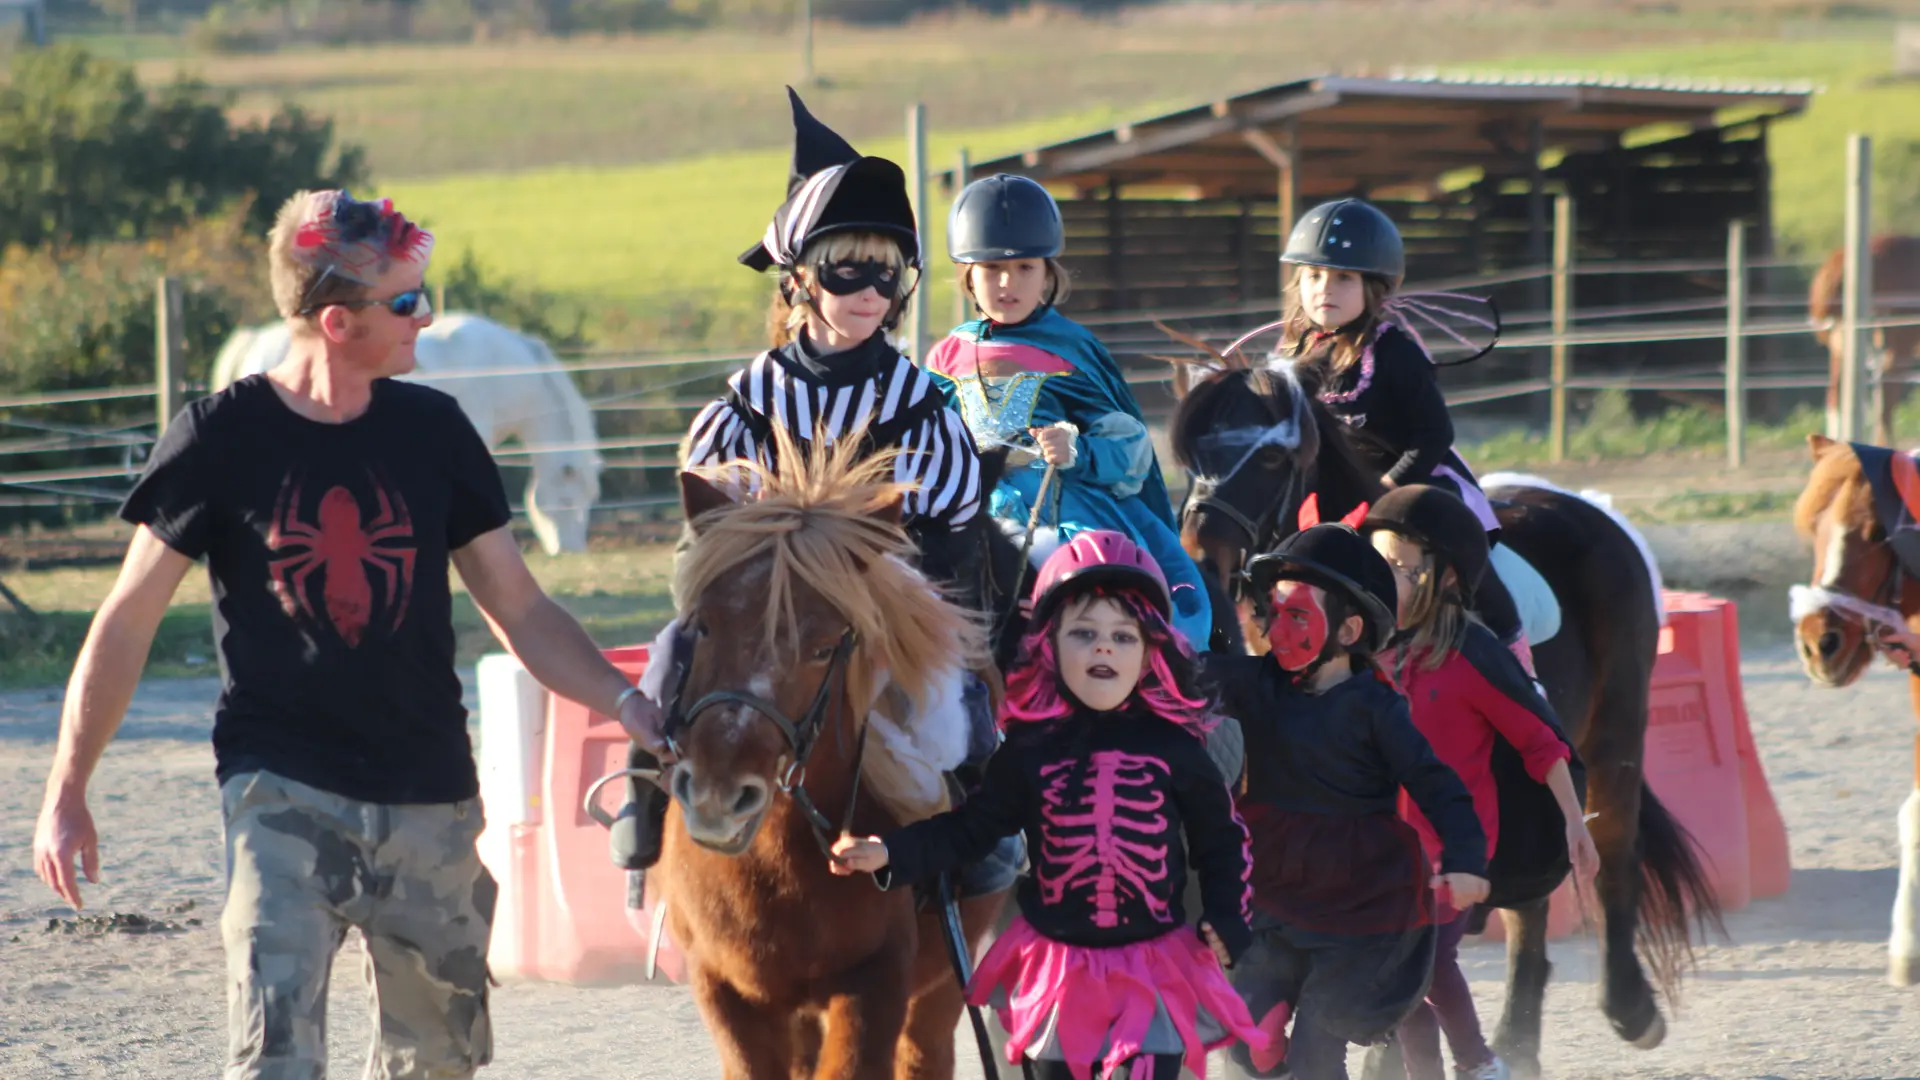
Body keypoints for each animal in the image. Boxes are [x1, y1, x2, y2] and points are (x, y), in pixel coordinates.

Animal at [656, 430, 1013, 1076]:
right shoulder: (725, 991)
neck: (772, 866)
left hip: (941, 984)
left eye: (825, 648)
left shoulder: (875, 985)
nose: (719, 798)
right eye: (703, 626)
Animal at [1152, 345, 1728, 1076]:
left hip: (1614, 733)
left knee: (1607, 851)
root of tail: (1587, 510)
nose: (1201, 557)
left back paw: (1621, 1010)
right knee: (1528, 904)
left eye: (1277, 459)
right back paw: (1516, 1038)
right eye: (1190, 455)